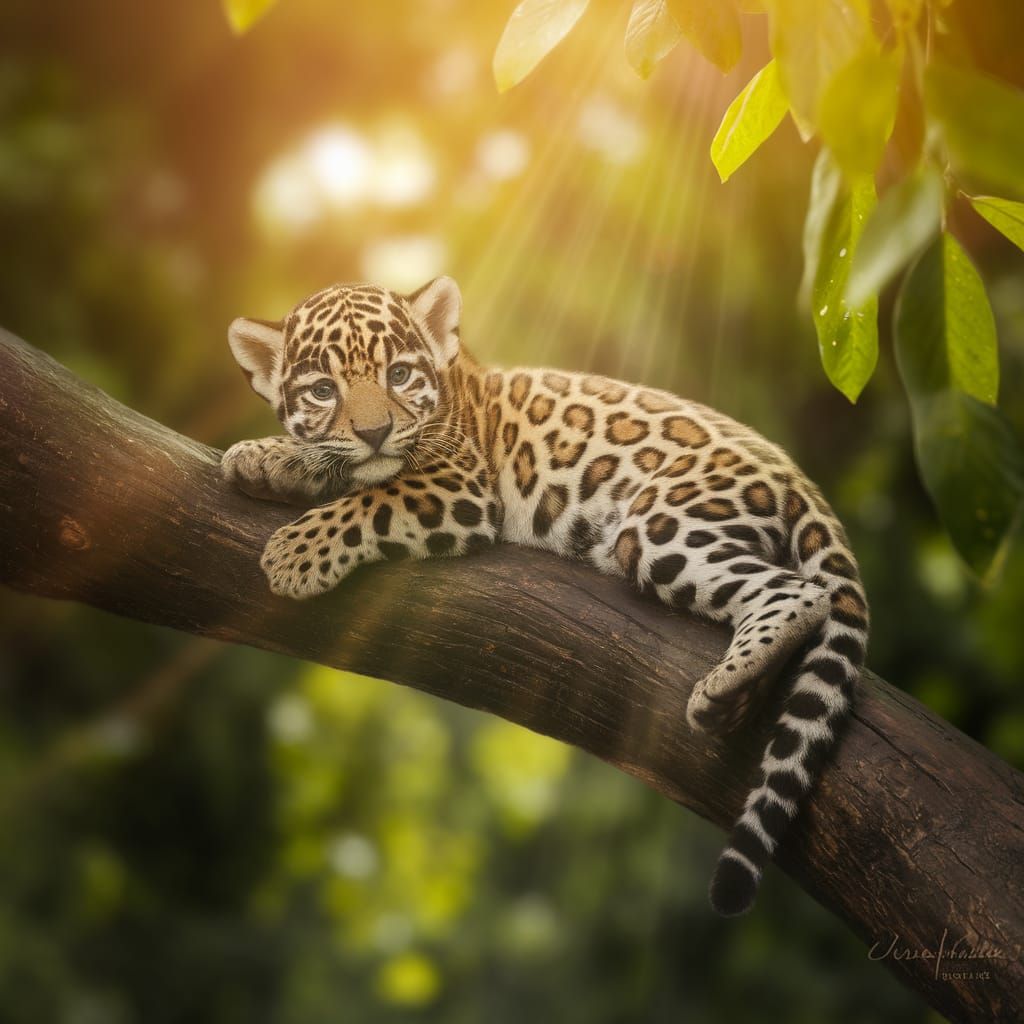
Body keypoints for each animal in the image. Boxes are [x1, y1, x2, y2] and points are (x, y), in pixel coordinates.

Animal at [222, 276, 869, 916]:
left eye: (399, 375)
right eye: (323, 391)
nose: (375, 432)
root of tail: (793, 472)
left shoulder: (457, 486)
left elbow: (370, 500)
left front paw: (293, 554)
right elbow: (337, 466)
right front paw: (263, 456)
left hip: (662, 523)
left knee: (800, 593)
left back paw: (724, 686)